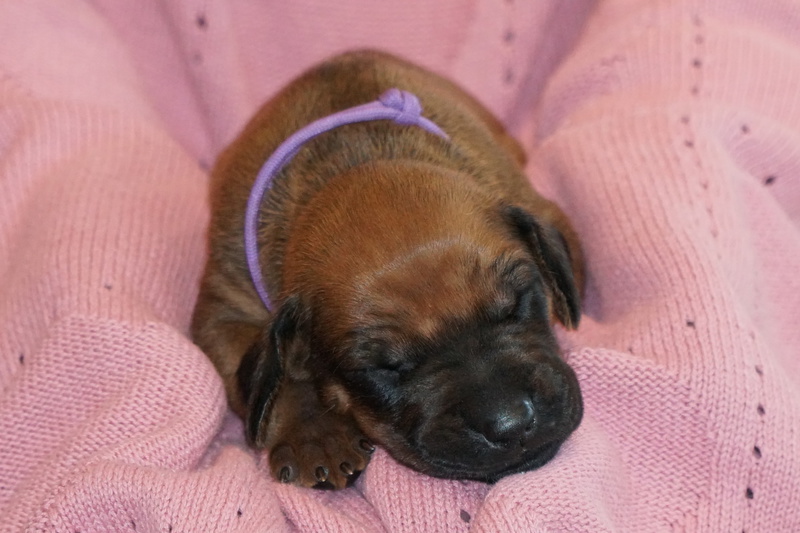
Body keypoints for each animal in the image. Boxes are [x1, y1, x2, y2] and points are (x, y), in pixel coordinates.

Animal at [191, 50, 585, 490]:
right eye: (387, 368)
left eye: (516, 306)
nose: (511, 424)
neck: (352, 162)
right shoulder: (225, 311)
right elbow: (273, 377)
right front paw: (316, 435)